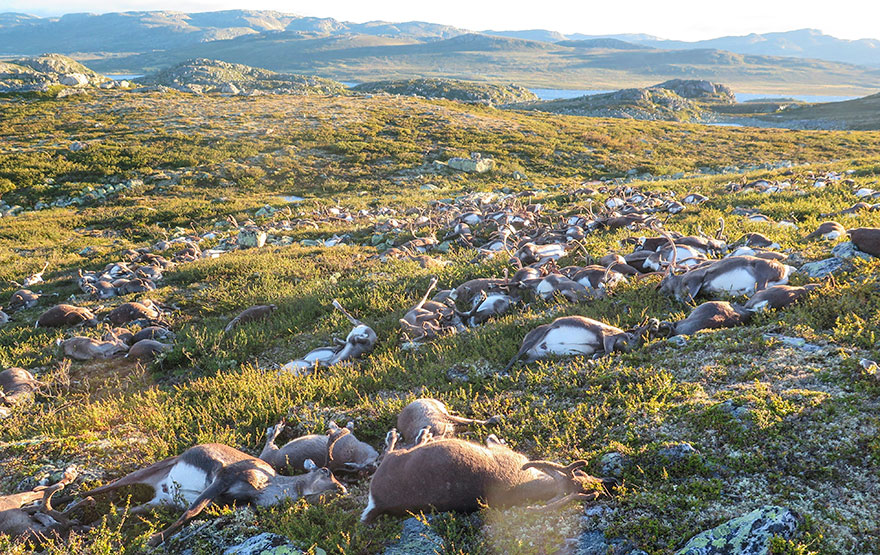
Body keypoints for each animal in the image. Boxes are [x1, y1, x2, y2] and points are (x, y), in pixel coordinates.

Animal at [75, 443, 347, 546]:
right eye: (326, 471)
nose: (343, 489)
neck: (267, 486)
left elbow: (194, 510)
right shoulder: (223, 477)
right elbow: (192, 511)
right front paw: (153, 538)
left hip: (160, 502)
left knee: (118, 512)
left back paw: (84, 526)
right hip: (147, 471)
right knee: (100, 489)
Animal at [361, 433, 613, 523]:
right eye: (581, 472)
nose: (608, 483)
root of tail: (378, 503)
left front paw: (494, 437)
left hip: (394, 460)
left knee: (389, 451)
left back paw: (414, 436)